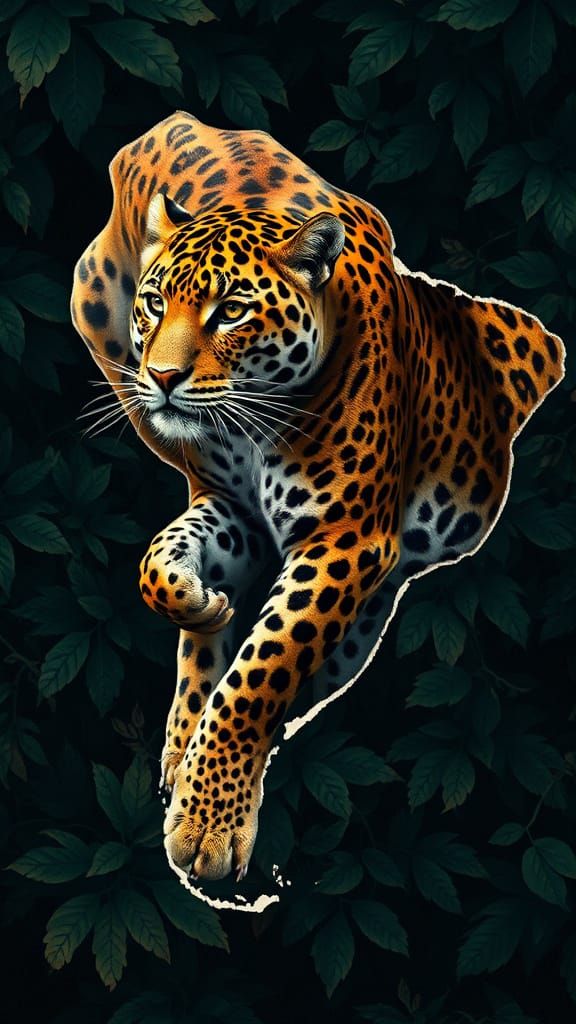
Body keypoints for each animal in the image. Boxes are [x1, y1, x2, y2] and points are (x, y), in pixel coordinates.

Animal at [71, 111, 565, 888]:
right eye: (154, 304)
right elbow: (158, 564)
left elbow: (263, 669)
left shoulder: (344, 538)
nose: (162, 377)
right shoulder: (234, 507)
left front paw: (207, 823)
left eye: (231, 311)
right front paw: (200, 603)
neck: (252, 426)